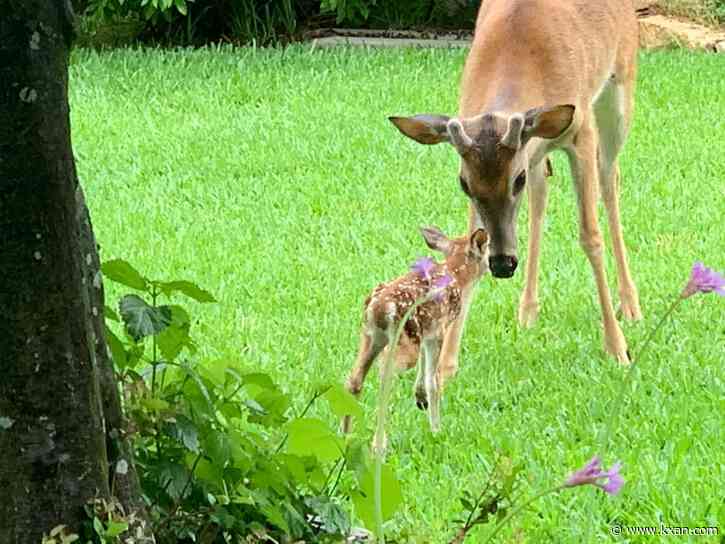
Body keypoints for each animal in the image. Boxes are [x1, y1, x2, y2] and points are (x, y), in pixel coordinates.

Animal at [342, 226, 489, 434]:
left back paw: (345, 434)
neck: (456, 274)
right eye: (487, 250)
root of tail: (378, 308)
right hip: (402, 340)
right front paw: (436, 429)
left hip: (370, 336)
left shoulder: (426, 331)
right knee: (385, 375)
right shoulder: (439, 329)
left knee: (354, 380)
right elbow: (432, 381)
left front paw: (421, 398)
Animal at [389, 0, 643, 368]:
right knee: (542, 193)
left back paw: (631, 305)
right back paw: (527, 311)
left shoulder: (580, 130)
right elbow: (471, 242)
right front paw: (446, 364)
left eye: (515, 179)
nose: (503, 264)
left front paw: (617, 347)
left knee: (610, 177)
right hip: (538, 151)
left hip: (620, 85)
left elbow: (590, 236)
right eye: (464, 184)